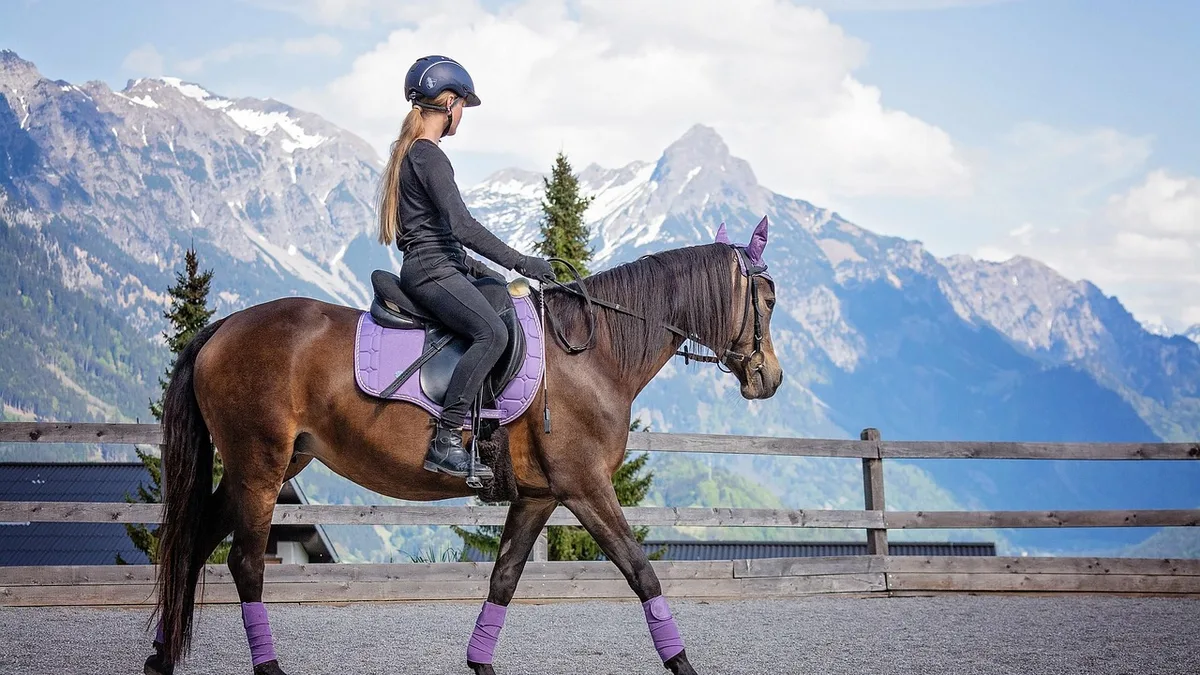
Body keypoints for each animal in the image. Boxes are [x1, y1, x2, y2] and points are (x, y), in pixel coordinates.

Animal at [144, 217, 783, 675]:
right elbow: (640, 571)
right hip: (260, 466)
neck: (592, 354)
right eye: (769, 300)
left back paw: (160, 659)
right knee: (245, 564)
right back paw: (264, 666)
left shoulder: (539, 496)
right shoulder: (586, 487)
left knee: (192, 546)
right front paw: (682, 663)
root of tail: (222, 328)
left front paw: (480, 664)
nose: (769, 378)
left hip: (259, 466)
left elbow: (505, 578)